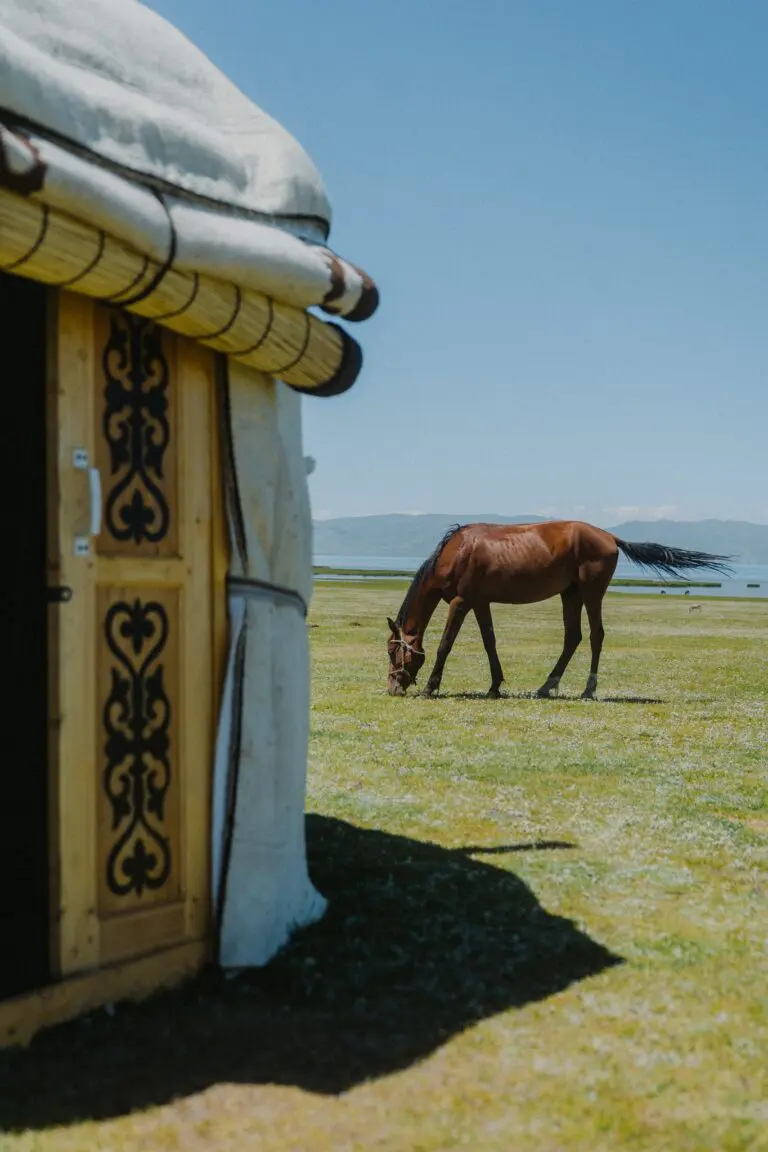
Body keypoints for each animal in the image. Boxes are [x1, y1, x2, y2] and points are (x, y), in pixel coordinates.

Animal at [385, 521, 732, 699]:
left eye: (392, 652)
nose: (393, 687)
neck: (457, 552)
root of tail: (609, 536)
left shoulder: (462, 602)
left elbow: (446, 644)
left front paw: (430, 686)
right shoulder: (480, 602)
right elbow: (490, 643)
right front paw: (495, 686)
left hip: (591, 592)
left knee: (595, 636)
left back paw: (588, 689)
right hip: (571, 594)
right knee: (572, 637)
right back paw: (547, 685)